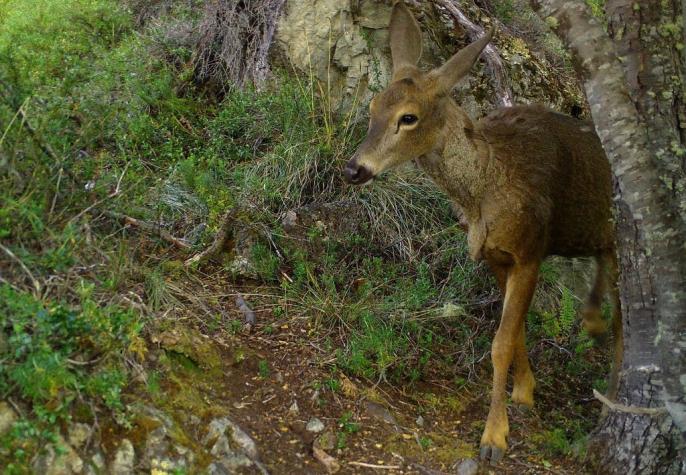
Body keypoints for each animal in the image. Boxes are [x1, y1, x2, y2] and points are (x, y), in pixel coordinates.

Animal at [342, 1, 624, 464]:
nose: (354, 169)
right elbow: (518, 332)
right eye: (372, 107)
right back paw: (592, 325)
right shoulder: (494, 256)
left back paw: (610, 407)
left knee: (628, 326)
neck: (485, 189)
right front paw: (525, 393)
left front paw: (494, 437)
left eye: (408, 117)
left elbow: (500, 342)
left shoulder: (531, 249)